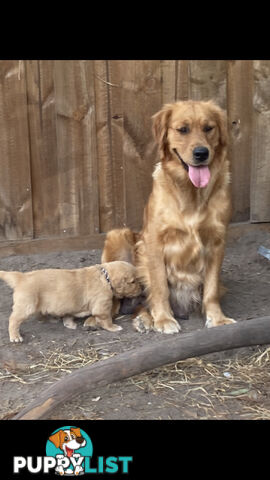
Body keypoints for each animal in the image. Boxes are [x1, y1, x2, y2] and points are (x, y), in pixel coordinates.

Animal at [0, 260, 142, 344]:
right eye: (133, 281)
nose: (142, 289)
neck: (105, 277)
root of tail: (21, 277)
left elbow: (68, 315)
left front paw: (69, 324)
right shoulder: (102, 306)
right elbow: (106, 319)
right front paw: (113, 327)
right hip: (26, 306)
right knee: (13, 320)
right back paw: (15, 336)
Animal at [102, 99, 235, 334]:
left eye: (209, 128)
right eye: (183, 129)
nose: (201, 153)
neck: (191, 194)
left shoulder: (216, 242)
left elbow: (211, 289)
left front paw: (217, 319)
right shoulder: (154, 242)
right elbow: (159, 286)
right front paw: (163, 319)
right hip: (117, 236)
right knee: (137, 301)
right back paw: (144, 319)